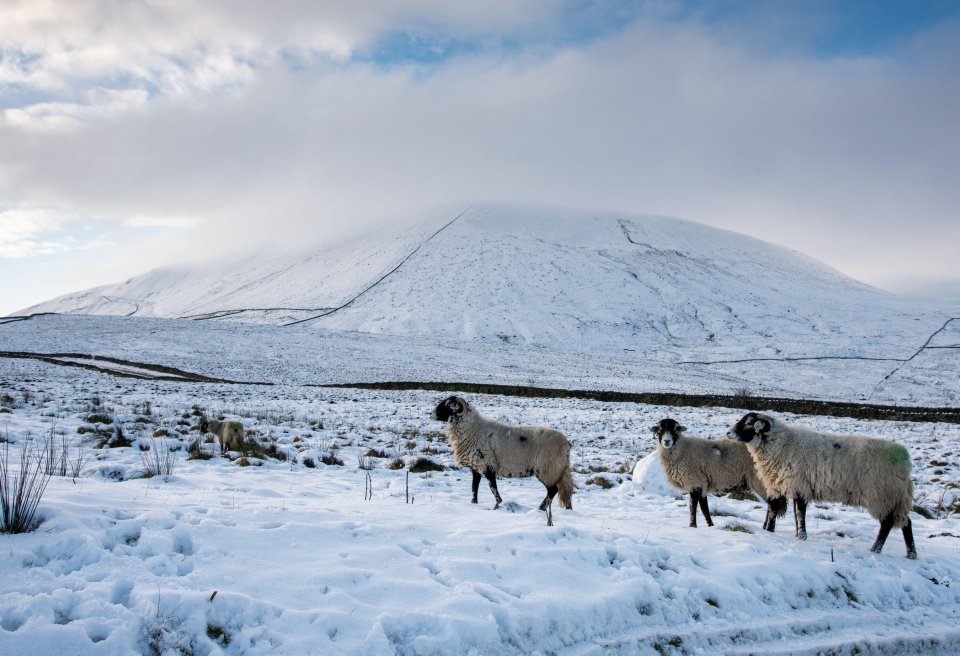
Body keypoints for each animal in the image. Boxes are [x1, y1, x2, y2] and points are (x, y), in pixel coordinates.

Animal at [432, 394, 572, 528]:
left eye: (448, 405)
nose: (431, 414)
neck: (473, 429)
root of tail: (566, 445)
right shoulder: (476, 467)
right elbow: (474, 488)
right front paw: (474, 505)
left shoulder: (488, 465)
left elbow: (493, 489)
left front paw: (498, 505)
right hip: (554, 471)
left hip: (547, 469)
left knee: (553, 490)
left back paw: (541, 508)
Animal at [644, 418, 788, 532]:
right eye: (659, 429)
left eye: (676, 429)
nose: (667, 441)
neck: (682, 449)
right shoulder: (702, 484)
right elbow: (704, 509)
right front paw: (710, 525)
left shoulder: (695, 481)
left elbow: (692, 507)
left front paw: (692, 526)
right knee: (771, 504)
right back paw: (765, 527)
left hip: (761, 481)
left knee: (773, 504)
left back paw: (769, 529)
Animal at [728, 410, 916, 560]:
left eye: (749, 423)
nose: (728, 433)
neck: (780, 445)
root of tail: (906, 464)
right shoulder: (784, 486)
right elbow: (782, 512)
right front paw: (779, 532)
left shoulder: (799, 485)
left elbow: (799, 513)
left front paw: (801, 537)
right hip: (895, 499)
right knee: (906, 522)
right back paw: (911, 554)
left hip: (882, 496)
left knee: (887, 524)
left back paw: (875, 550)